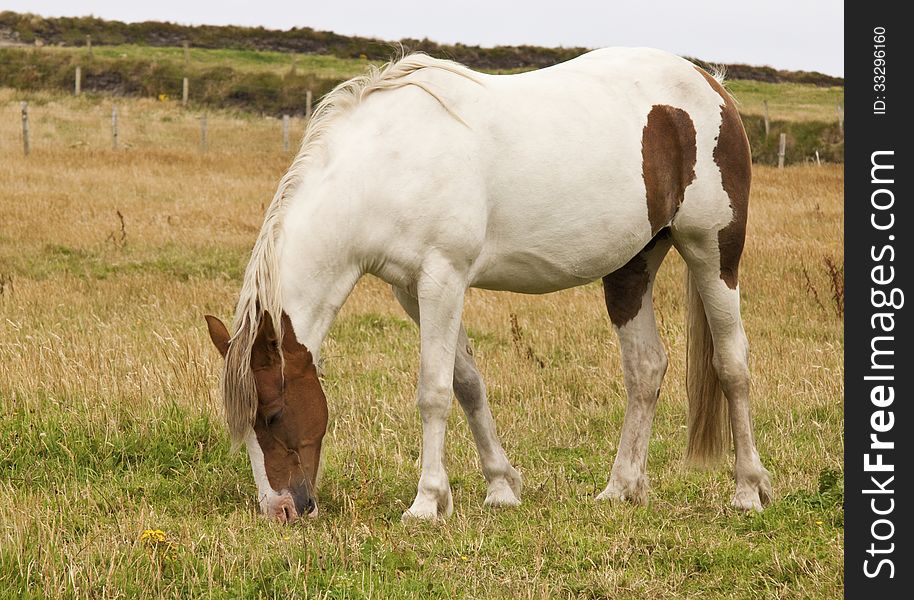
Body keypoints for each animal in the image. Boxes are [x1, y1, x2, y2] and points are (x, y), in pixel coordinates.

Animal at [205, 49, 768, 524]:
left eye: (273, 414)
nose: (280, 510)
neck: (387, 165)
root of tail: (710, 83)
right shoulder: (414, 291)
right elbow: (467, 384)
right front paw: (500, 487)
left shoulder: (443, 279)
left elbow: (434, 391)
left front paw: (426, 502)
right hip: (633, 266)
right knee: (646, 368)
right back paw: (620, 488)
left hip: (712, 252)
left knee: (732, 365)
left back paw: (747, 491)